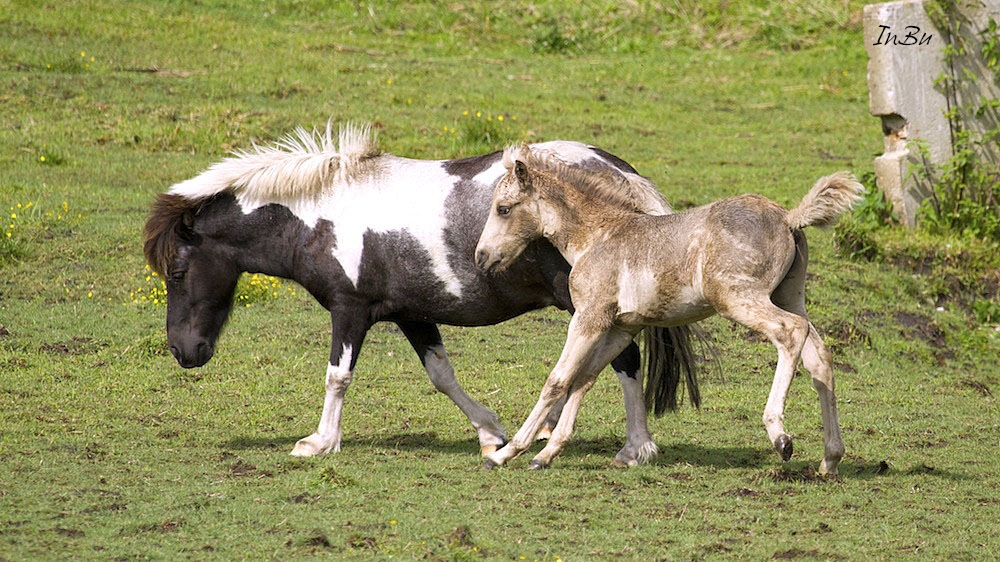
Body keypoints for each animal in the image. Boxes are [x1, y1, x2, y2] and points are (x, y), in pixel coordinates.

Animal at [145, 124, 700, 466]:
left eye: (177, 271)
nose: (183, 351)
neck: (321, 218)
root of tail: (620, 172)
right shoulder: (411, 313)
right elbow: (441, 376)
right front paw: (490, 434)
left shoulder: (350, 310)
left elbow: (337, 376)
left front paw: (319, 442)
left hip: (590, 308)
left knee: (626, 361)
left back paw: (635, 447)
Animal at [474, 145, 860, 472]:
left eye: (503, 208)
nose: (481, 257)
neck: (598, 237)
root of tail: (788, 218)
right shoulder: (621, 327)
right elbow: (584, 379)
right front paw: (548, 453)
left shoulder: (590, 318)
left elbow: (558, 380)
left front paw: (507, 453)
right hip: (789, 296)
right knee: (819, 356)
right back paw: (830, 458)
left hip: (739, 299)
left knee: (790, 332)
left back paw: (779, 435)